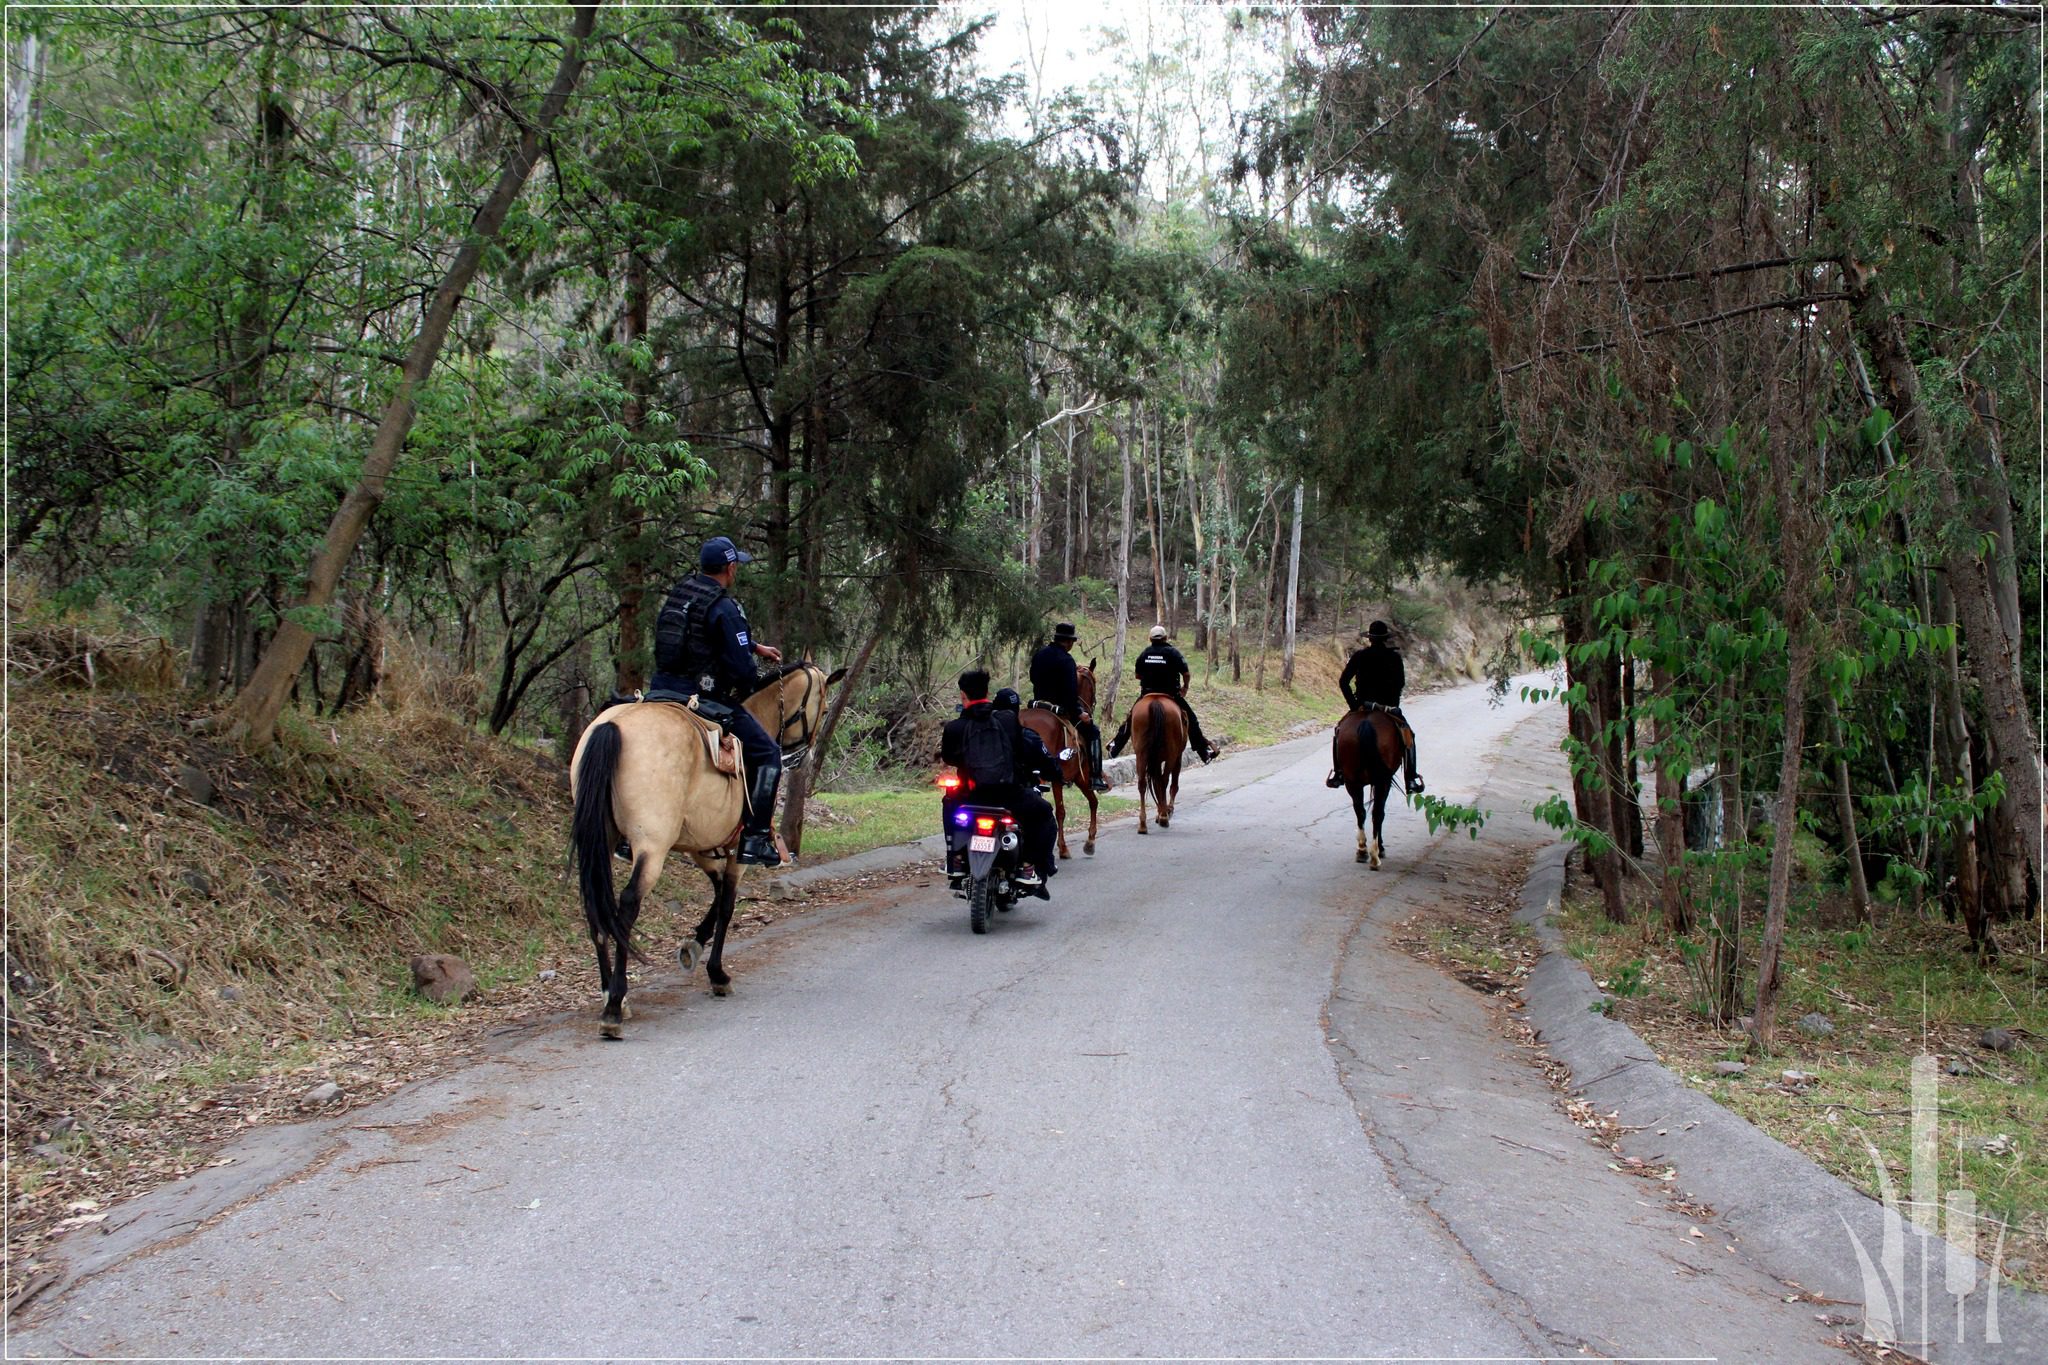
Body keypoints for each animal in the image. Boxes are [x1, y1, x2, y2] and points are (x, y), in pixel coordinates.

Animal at [569, 663, 839, 1035]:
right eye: (823, 709)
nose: (805, 756)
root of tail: (615, 725)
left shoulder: (702, 847)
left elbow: (717, 892)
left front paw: (693, 945)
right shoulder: (737, 852)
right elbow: (727, 905)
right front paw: (717, 974)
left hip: (600, 839)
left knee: (595, 901)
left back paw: (611, 992)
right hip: (652, 847)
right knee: (627, 904)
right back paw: (613, 1005)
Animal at [1130, 695, 1196, 834]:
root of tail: (1155, 700)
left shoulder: (1156, 760)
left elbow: (1156, 782)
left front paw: (1160, 811)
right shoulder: (1177, 756)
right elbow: (1171, 784)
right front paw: (1165, 811)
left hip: (1141, 754)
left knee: (1143, 784)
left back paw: (1143, 825)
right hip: (1171, 754)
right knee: (1165, 780)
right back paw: (1164, 817)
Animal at [1327, 703, 1409, 863]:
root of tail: (1366, 723)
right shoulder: (1381, 782)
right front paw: (1380, 848)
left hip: (1352, 781)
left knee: (1360, 811)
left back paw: (1362, 850)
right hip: (1382, 782)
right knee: (1377, 813)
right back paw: (1376, 855)